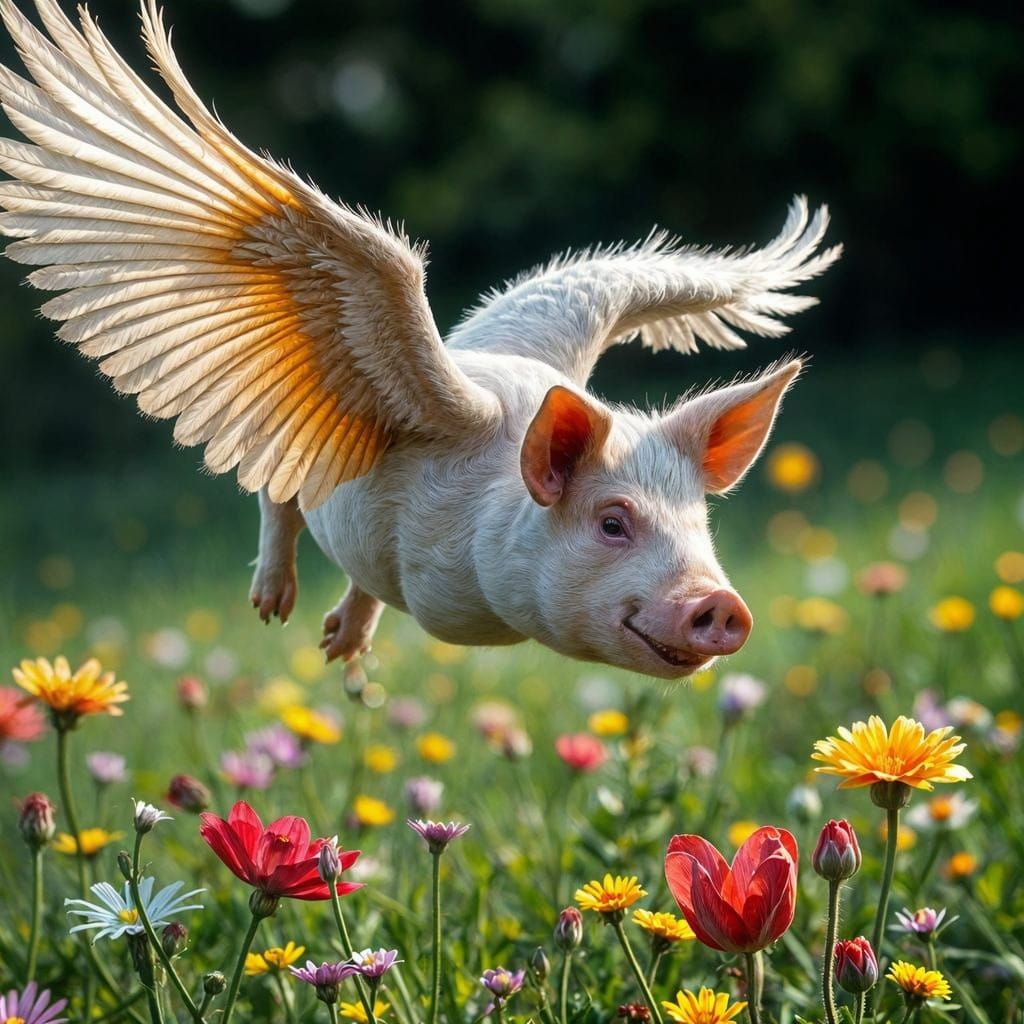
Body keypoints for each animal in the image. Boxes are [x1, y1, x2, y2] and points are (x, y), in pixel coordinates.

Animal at [0, 0, 841, 678]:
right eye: (613, 521)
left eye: (702, 519)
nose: (721, 604)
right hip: (288, 447)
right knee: (275, 489)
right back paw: (273, 611)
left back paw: (336, 648)